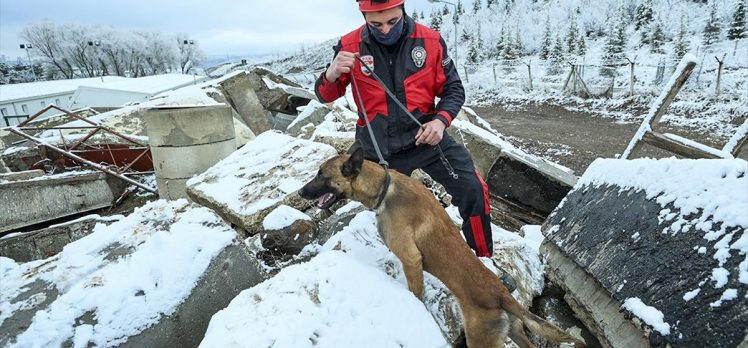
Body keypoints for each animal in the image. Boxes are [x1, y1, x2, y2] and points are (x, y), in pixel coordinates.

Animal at [298, 144, 584, 348]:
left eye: (322, 175)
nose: (300, 193)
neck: (384, 187)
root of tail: (502, 295)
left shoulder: (411, 260)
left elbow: (415, 293)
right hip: (514, 332)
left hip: (480, 340)